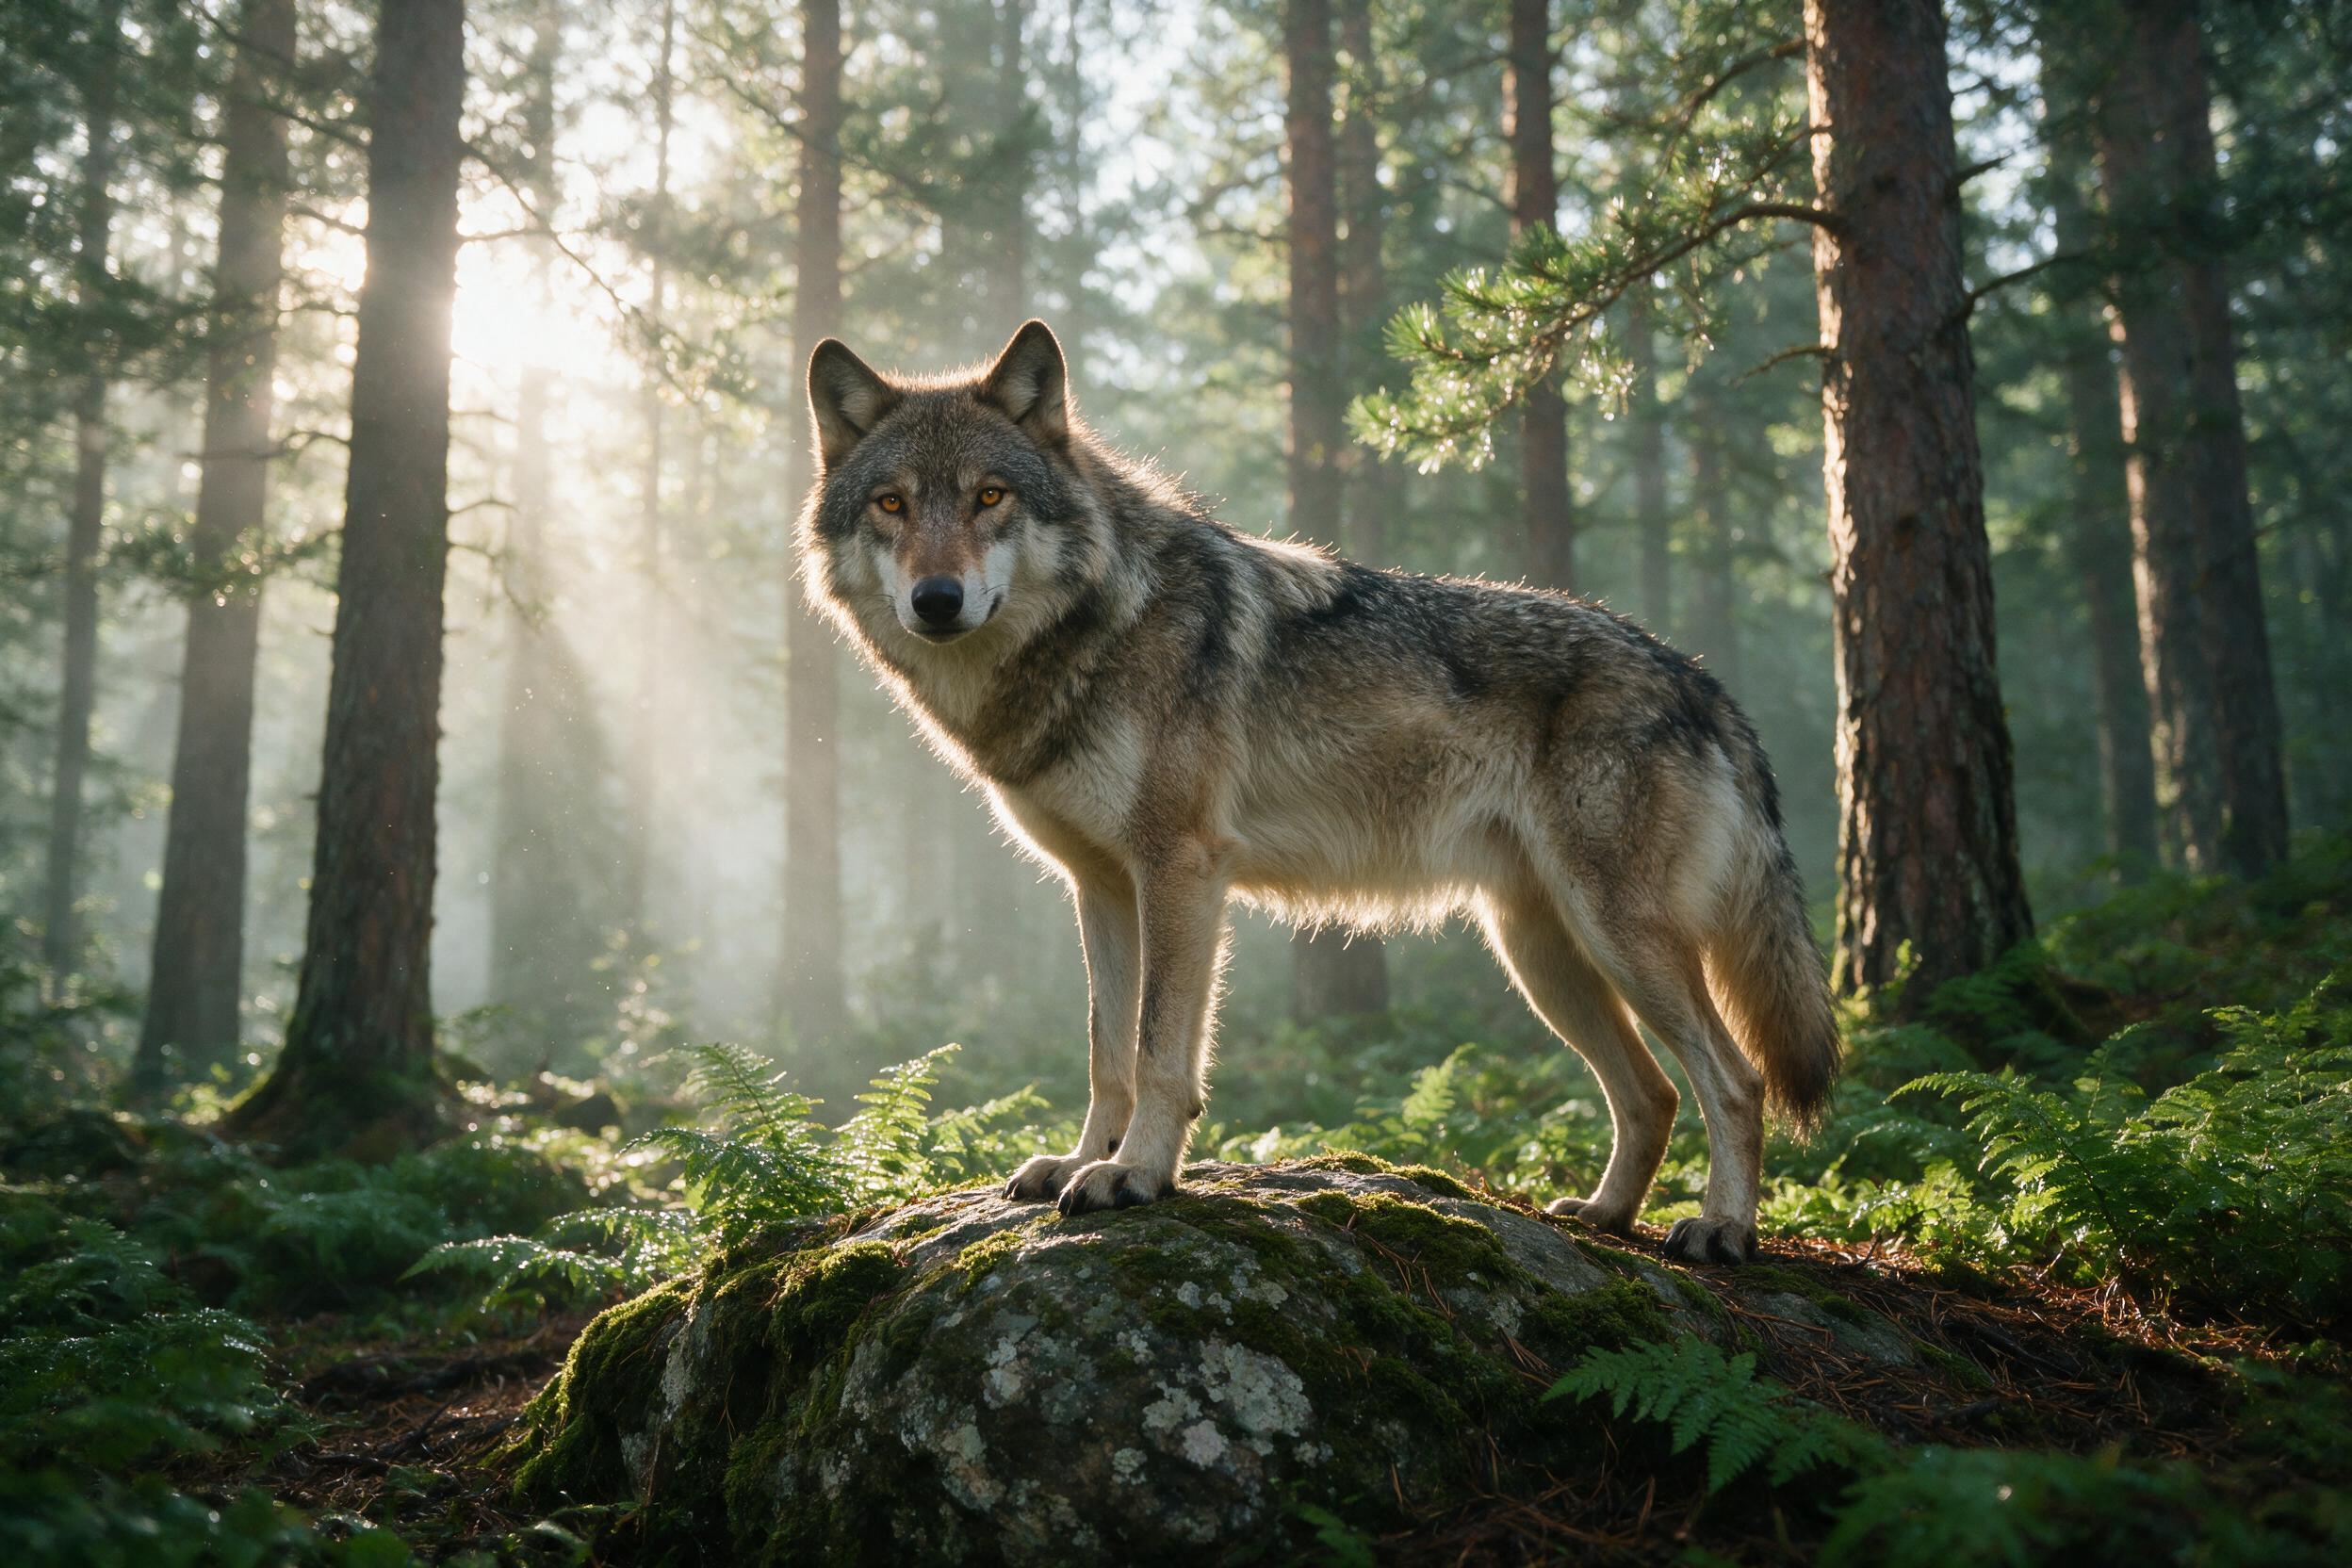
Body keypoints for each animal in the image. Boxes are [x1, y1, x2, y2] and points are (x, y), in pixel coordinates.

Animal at [796, 319, 1839, 1263]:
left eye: (990, 496)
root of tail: (1697, 679)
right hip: (1541, 953)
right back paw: (1603, 1215)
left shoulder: (1180, 869)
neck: (1096, 628)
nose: (936, 600)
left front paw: (1134, 1175)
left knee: (1734, 1080)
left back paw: (1722, 1229)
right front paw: (1082, 1159)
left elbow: (1158, 1050)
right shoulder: (1101, 887)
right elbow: (1105, 1052)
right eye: (891, 503)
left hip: (1617, 937)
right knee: (1651, 1093)